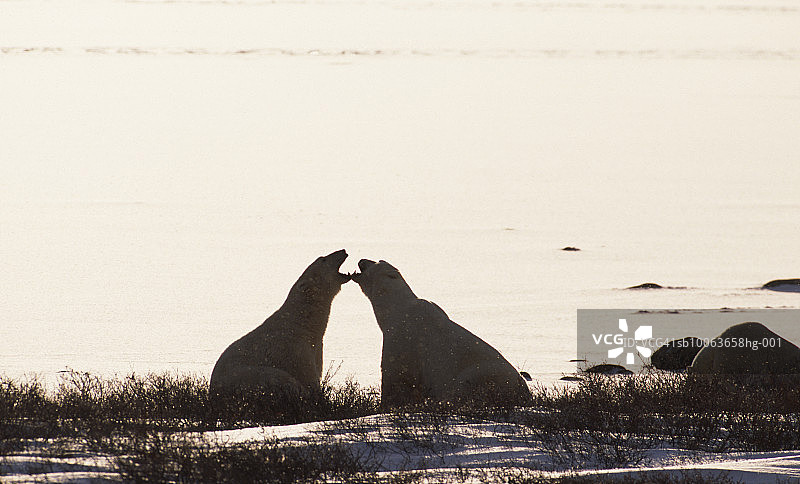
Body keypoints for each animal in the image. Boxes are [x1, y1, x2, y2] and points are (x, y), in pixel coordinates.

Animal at [209, 249, 350, 400]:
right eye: (323, 259)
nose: (343, 251)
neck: (303, 324)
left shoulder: (315, 349)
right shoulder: (295, 350)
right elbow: (308, 380)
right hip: (249, 376)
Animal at [351, 259, 532, 408]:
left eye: (374, 261)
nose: (362, 259)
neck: (397, 309)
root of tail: (522, 387)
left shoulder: (403, 337)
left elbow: (396, 376)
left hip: (484, 375)